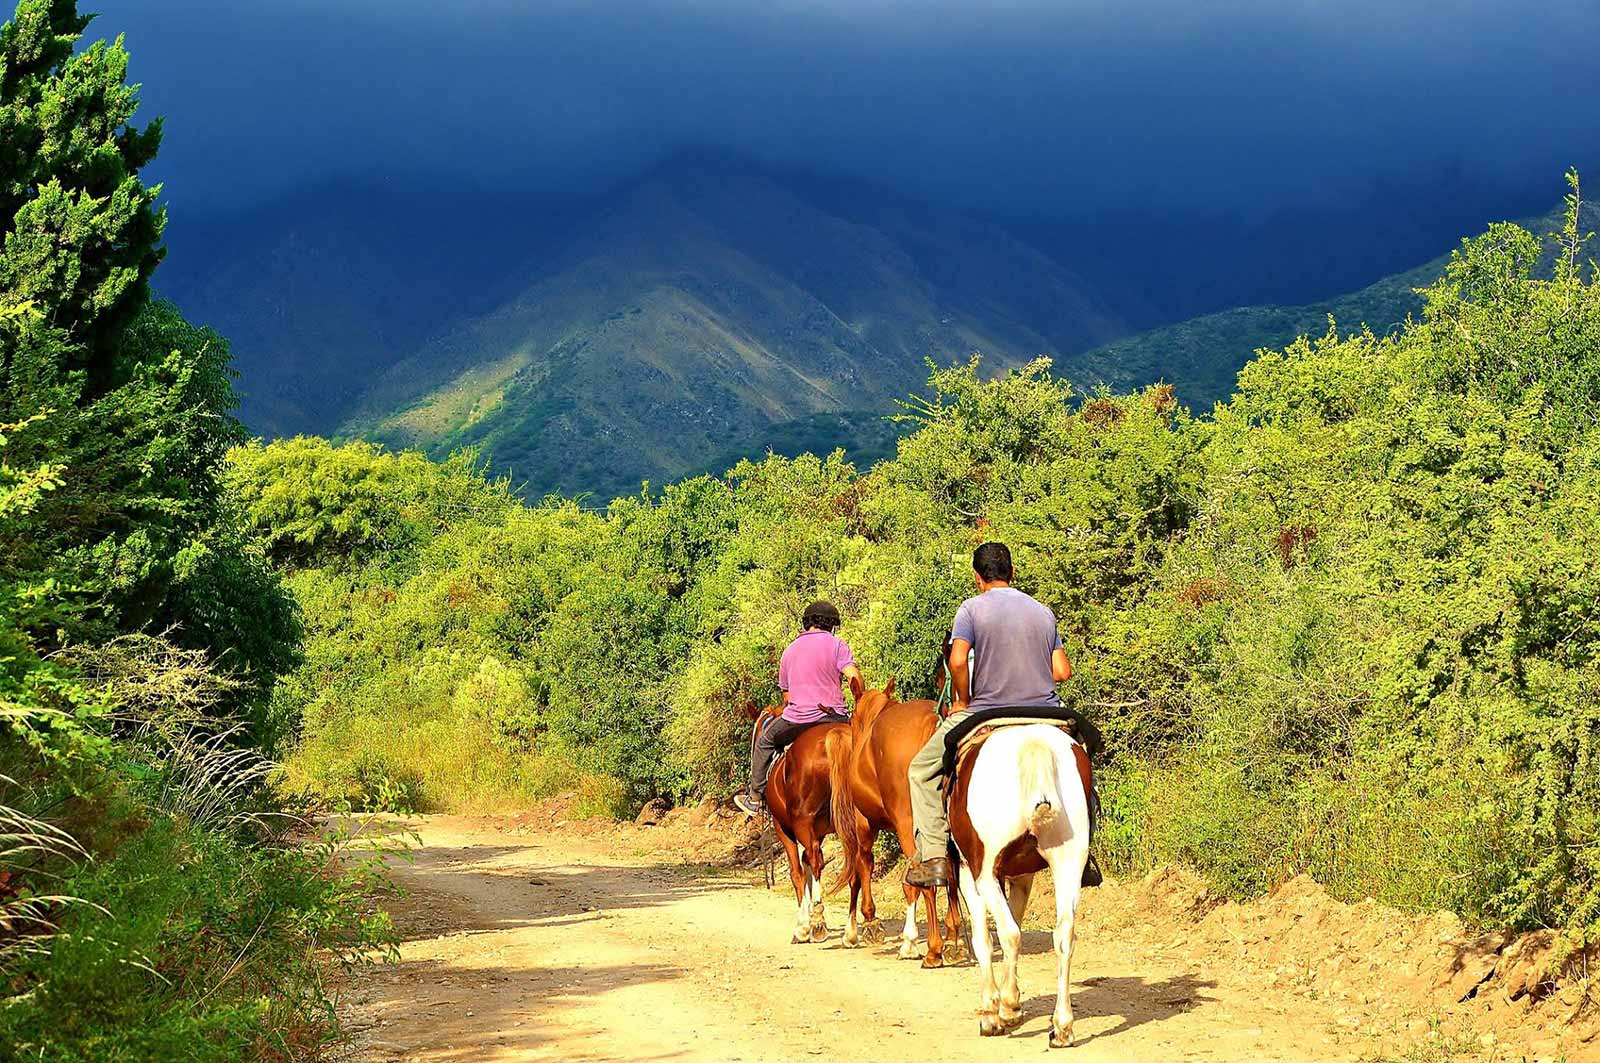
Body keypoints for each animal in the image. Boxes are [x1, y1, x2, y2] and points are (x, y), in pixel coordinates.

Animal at [752, 704, 864, 947]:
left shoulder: (784, 829)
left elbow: (798, 871)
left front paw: (803, 927)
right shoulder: (818, 830)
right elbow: (806, 867)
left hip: (802, 823)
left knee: (814, 860)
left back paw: (819, 922)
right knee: (856, 863)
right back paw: (850, 932)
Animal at [838, 685, 960, 966]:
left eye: (851, 720)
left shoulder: (864, 824)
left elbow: (863, 867)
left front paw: (872, 924)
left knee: (926, 879)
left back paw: (934, 949)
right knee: (949, 871)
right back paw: (953, 939)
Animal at [947, 723, 1100, 1043]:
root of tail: (1034, 743)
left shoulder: (969, 873)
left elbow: (983, 939)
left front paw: (994, 1013)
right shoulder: (1022, 877)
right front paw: (1010, 1003)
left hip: (985, 874)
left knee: (1008, 933)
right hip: (1069, 863)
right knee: (1064, 935)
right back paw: (1062, 1026)